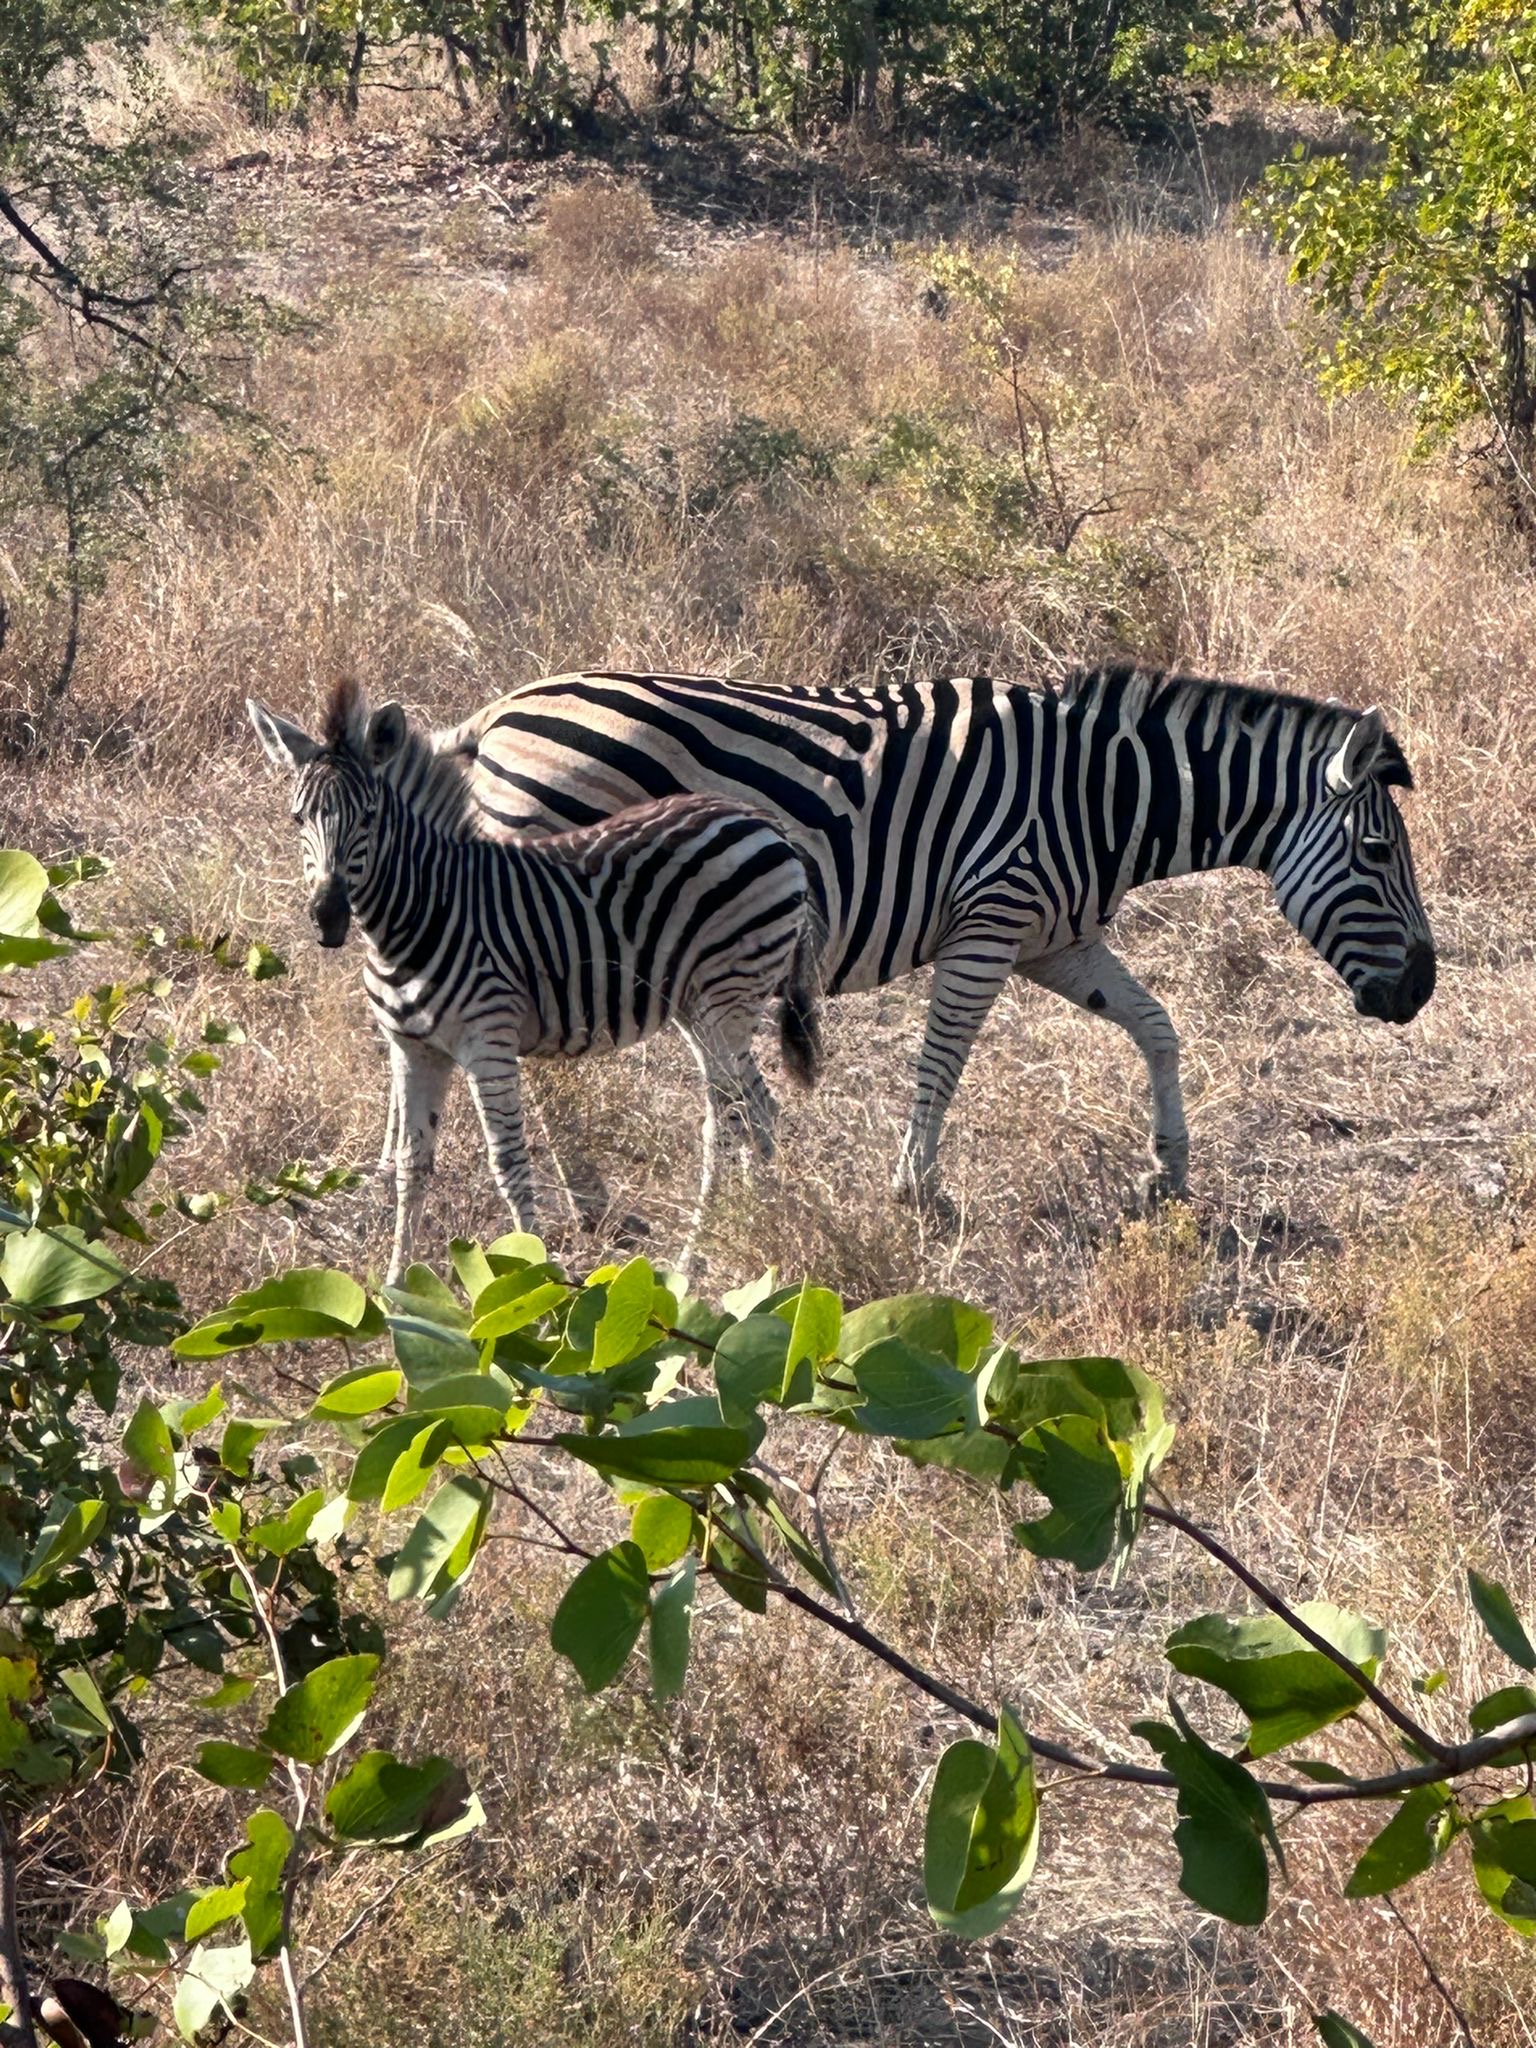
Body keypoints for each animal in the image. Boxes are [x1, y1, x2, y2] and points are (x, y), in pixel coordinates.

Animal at [246, 680, 824, 1281]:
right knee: (757, 1106)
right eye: (297, 820)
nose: (328, 918)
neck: (421, 914)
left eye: (369, 817)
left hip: (727, 993)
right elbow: (412, 1164)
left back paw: (694, 1260)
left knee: (727, 1120)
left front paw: (534, 1275)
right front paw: (394, 1283)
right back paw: (760, 1224)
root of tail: (761, 820)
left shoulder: (488, 1043)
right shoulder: (412, 1049)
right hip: (697, 1003)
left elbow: (509, 1163)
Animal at [436, 661, 1435, 1216]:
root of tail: (498, 714)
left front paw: (1170, 1170)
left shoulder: (1056, 939)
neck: (1102, 796)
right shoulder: (990, 921)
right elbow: (944, 1056)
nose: (1421, 991)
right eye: (1379, 852)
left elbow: (1155, 1025)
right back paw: (595, 1201)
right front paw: (917, 1190)